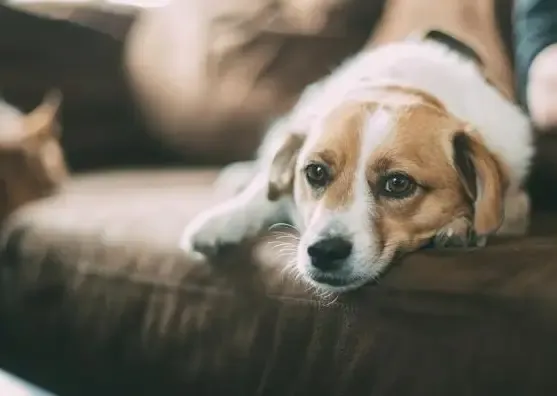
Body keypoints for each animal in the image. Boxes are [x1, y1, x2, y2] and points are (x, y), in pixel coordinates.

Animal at [180, 30, 532, 290]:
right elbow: (262, 194)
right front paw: (221, 221)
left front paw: (462, 225)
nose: (324, 252)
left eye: (398, 183)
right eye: (315, 172)